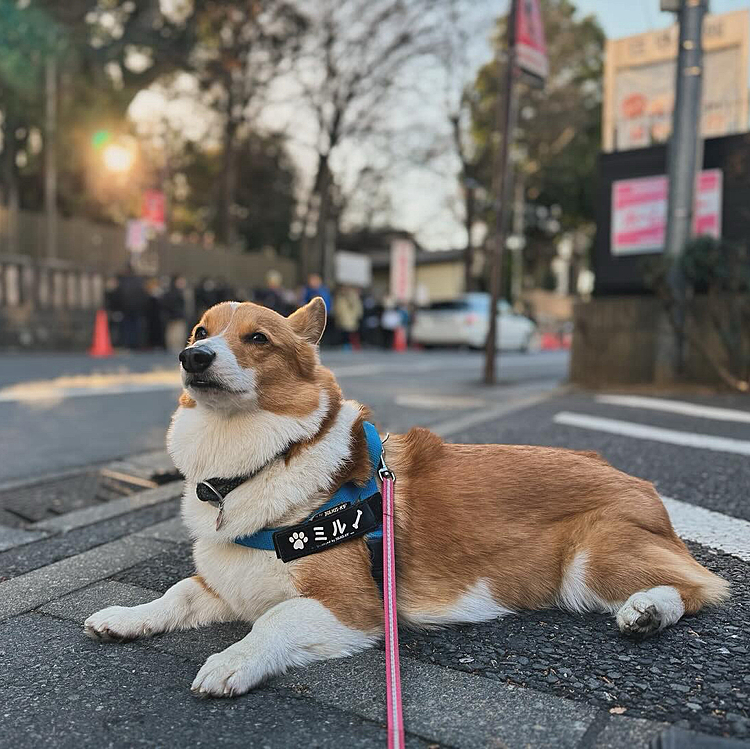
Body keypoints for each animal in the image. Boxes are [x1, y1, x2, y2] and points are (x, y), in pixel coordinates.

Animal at [85, 296, 732, 696]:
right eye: (201, 331)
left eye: (258, 339)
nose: (191, 357)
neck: (263, 460)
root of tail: (644, 487)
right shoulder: (226, 585)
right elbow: (175, 595)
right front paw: (126, 619)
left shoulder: (350, 607)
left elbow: (273, 623)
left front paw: (231, 662)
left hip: (591, 557)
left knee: (700, 586)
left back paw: (647, 611)